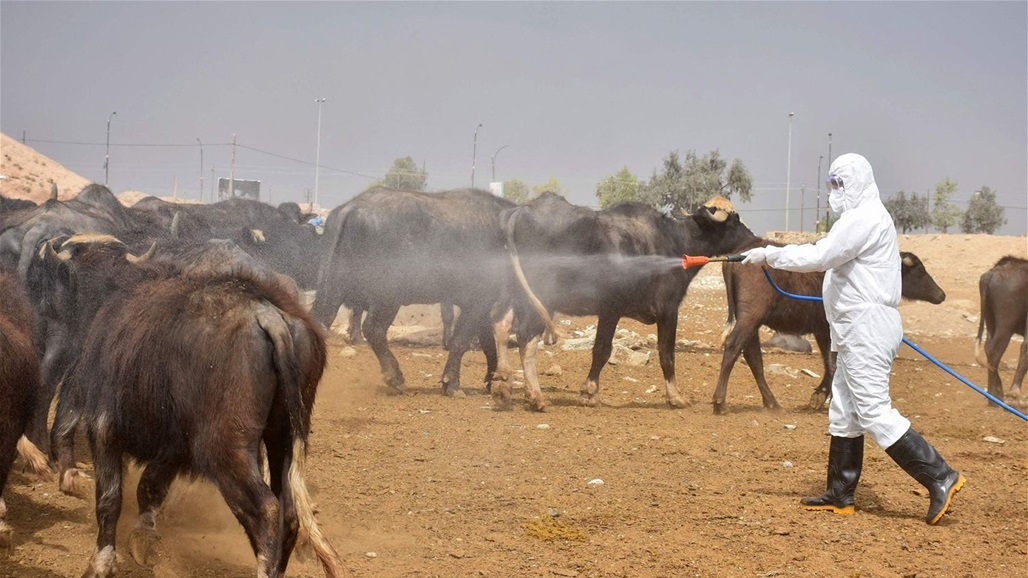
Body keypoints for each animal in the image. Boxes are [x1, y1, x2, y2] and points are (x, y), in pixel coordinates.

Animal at [34, 234, 343, 575]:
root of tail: (268, 315)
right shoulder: (176, 446)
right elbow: (150, 487)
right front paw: (142, 539)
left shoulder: (104, 427)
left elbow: (110, 497)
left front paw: (102, 561)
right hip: (282, 439)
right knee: (289, 512)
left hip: (226, 449)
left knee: (266, 509)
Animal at [306, 187, 511, 392]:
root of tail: (352, 206)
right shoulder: (477, 300)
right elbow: (461, 341)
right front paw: (452, 384)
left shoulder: (482, 305)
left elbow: (487, 341)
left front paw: (491, 380)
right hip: (387, 296)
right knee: (373, 329)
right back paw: (395, 377)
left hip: (333, 285)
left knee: (320, 320)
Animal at [497, 193, 756, 409]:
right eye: (735, 221)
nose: (753, 237)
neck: (675, 242)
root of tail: (522, 210)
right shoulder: (662, 310)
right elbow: (660, 353)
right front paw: (675, 397)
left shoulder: (611, 312)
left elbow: (601, 351)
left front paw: (589, 393)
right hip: (540, 301)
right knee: (526, 340)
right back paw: (535, 397)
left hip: (515, 295)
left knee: (502, 326)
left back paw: (503, 383)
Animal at [715, 236, 945, 411]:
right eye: (920, 271)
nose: (941, 295)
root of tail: (736, 257)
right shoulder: (831, 328)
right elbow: (834, 363)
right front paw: (826, 397)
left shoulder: (822, 331)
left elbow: (829, 362)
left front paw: (819, 396)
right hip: (750, 317)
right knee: (734, 346)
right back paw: (719, 401)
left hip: (752, 322)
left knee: (753, 357)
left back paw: (772, 403)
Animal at [974, 254, 1023, 403]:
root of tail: (992, 273)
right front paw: (1015, 393)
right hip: (1005, 324)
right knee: (995, 350)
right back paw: (998, 395)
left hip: (990, 320)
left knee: (988, 349)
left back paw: (993, 396)